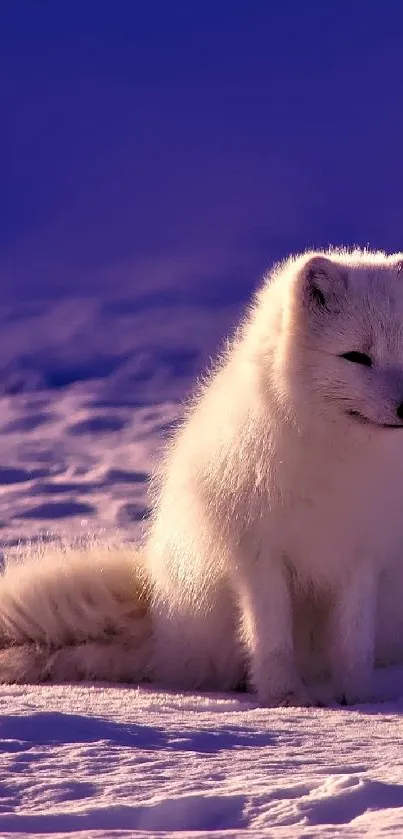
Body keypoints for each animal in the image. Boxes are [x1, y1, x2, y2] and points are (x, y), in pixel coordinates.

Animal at [1, 248, 403, 706]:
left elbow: (354, 642)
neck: (336, 456)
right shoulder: (258, 555)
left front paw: (358, 698)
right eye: (356, 357)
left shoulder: (363, 555)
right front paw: (285, 697)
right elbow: (271, 638)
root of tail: (161, 625)